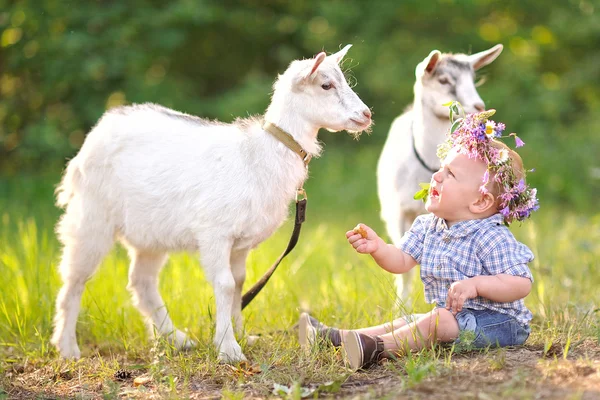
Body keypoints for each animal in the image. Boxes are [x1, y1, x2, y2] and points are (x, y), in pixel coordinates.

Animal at [51, 45, 372, 364]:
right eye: (326, 85)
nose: (366, 114)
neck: (258, 154)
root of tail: (101, 128)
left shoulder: (241, 242)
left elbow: (239, 282)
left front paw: (242, 334)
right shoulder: (215, 232)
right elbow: (225, 284)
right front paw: (228, 348)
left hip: (150, 231)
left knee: (141, 281)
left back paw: (176, 338)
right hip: (92, 215)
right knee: (75, 279)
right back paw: (67, 348)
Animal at [380, 43, 502, 302]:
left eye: (472, 79)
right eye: (444, 80)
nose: (479, 106)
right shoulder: (399, 213)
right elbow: (404, 267)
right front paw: (402, 305)